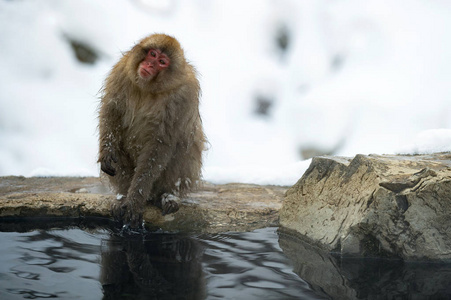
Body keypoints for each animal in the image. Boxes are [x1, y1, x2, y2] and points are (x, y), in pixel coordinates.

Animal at [99, 34, 207, 227]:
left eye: (162, 62)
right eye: (152, 54)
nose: (149, 64)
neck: (148, 88)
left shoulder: (183, 96)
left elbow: (160, 144)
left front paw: (135, 200)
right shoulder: (121, 72)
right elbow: (111, 114)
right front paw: (107, 151)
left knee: (183, 146)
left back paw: (167, 196)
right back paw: (123, 195)